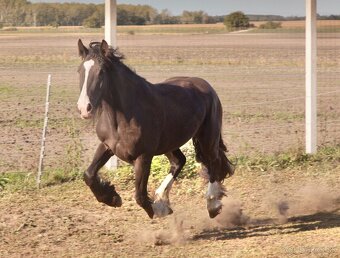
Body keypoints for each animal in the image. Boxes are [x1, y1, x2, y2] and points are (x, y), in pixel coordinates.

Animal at [76, 39, 234, 219]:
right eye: (80, 70)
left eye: (101, 72)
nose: (84, 108)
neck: (124, 117)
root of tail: (206, 86)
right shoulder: (107, 146)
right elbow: (89, 175)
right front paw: (113, 198)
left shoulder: (144, 156)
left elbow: (140, 196)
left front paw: (158, 210)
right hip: (170, 143)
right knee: (179, 161)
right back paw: (162, 197)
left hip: (207, 138)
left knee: (213, 163)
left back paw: (212, 204)